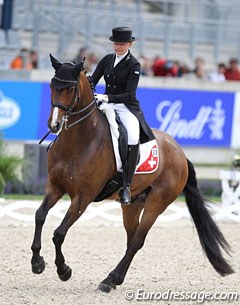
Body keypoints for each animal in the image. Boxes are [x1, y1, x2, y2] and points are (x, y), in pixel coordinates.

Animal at [30, 54, 234, 292]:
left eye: (70, 89)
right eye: (52, 85)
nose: (53, 125)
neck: (79, 140)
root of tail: (181, 154)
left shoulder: (83, 198)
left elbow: (59, 233)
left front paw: (64, 270)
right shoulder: (55, 187)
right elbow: (39, 216)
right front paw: (37, 263)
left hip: (157, 203)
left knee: (137, 240)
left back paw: (110, 280)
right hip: (133, 204)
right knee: (131, 238)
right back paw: (114, 279)